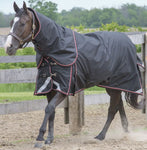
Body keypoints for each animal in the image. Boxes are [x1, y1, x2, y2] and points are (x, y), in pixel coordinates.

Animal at [4, 1, 144, 148]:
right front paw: (49, 138)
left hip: (116, 85)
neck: (55, 49)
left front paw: (40, 137)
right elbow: (52, 111)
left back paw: (101, 136)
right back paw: (125, 132)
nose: (8, 47)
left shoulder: (63, 88)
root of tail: (129, 43)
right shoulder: (50, 88)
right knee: (119, 106)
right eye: (11, 22)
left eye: (22, 23)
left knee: (112, 110)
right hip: (112, 86)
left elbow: (49, 108)